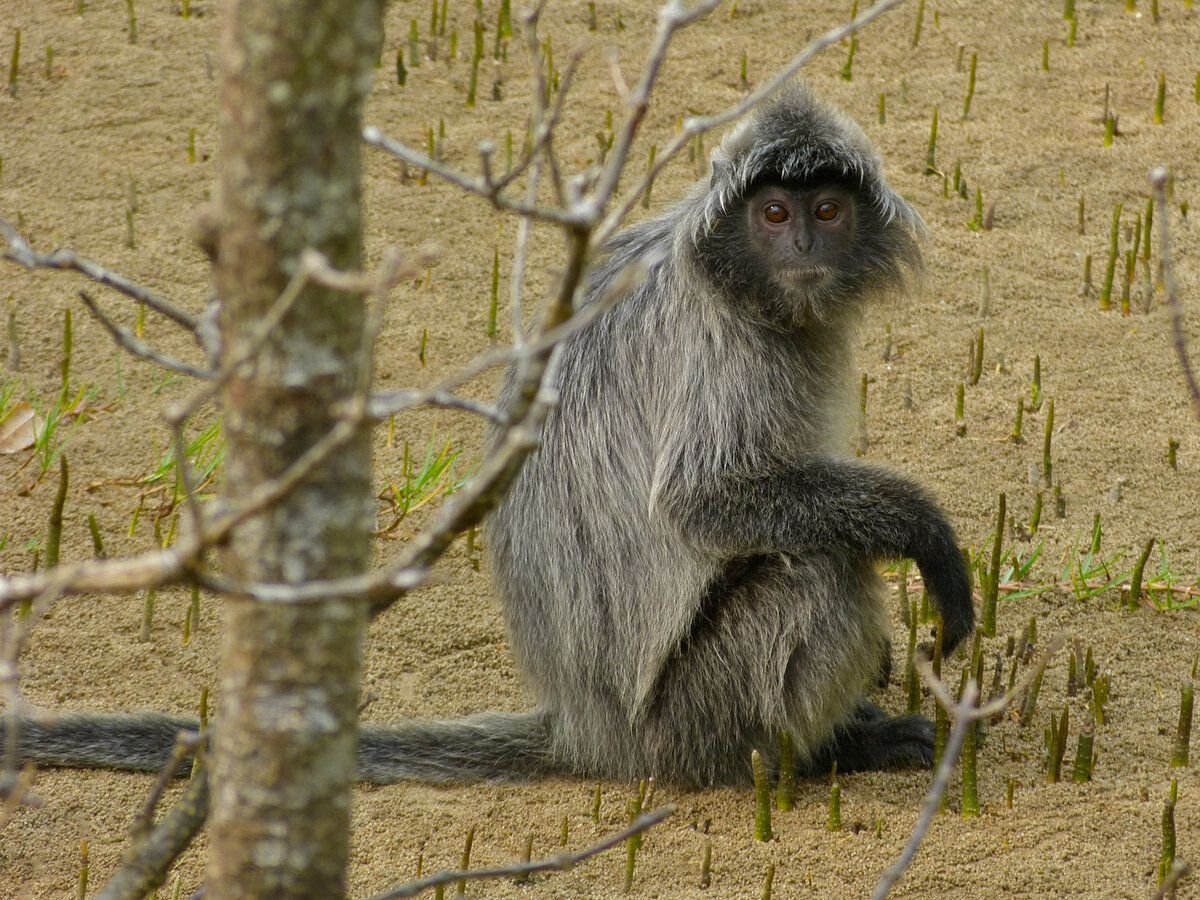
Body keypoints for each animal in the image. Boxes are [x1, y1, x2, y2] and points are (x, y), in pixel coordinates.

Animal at [4, 84, 969, 787]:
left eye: (827, 212)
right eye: (774, 215)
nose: (803, 243)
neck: (733, 277)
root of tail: (588, 731)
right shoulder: (729, 347)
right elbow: (707, 503)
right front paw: (926, 534)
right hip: (691, 719)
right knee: (819, 569)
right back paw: (812, 760)